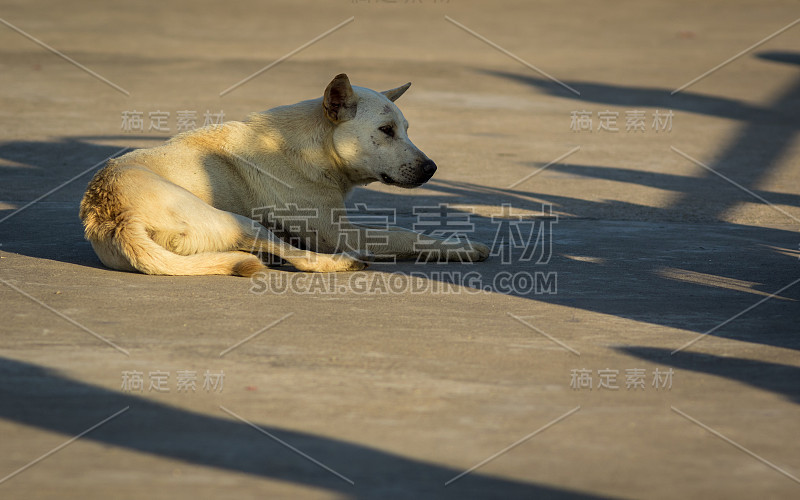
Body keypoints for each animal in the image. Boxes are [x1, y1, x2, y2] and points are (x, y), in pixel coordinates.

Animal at [79, 74, 488, 278]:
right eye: (386, 131)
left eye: (406, 129)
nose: (432, 168)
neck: (314, 147)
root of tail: (115, 217)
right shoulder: (340, 234)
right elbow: (405, 233)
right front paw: (462, 246)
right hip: (241, 221)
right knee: (303, 261)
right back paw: (340, 264)